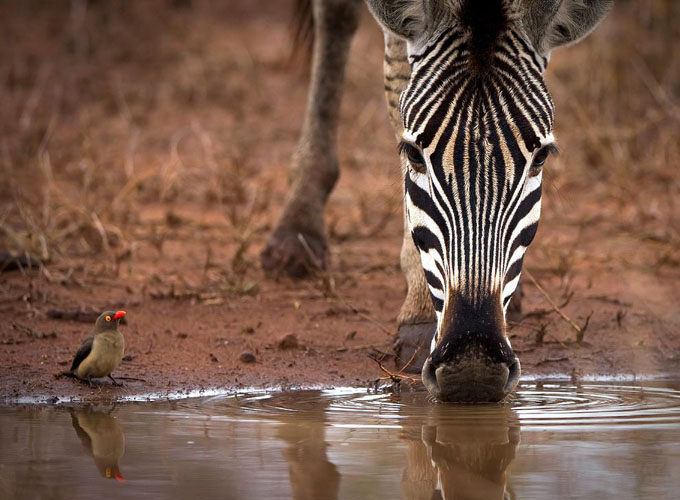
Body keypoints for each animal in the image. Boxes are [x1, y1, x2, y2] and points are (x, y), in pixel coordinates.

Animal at [260, 0, 612, 402]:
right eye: (413, 153)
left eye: (541, 158)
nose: (474, 367)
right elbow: (397, 76)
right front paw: (421, 313)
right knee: (337, 16)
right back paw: (297, 229)